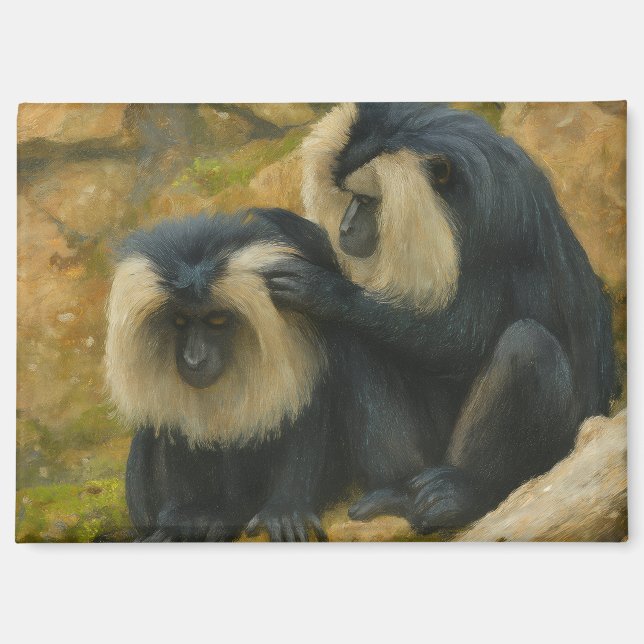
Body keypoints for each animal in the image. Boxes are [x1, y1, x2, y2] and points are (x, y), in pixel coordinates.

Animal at [105, 208, 429, 541]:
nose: (193, 359)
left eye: (216, 320)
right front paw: (185, 516)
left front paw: (285, 508)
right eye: (180, 320)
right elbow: (171, 426)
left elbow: (307, 409)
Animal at [261, 103, 618, 532]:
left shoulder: (493, 220)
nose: (345, 227)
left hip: (551, 446)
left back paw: (464, 494)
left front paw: (323, 291)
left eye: (367, 200)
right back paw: (397, 489)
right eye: (349, 198)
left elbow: (461, 342)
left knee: (528, 347)